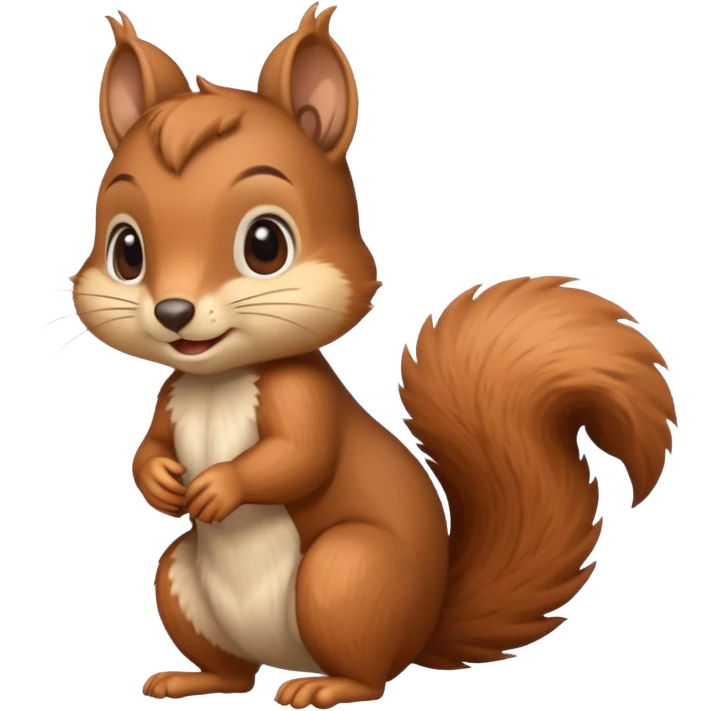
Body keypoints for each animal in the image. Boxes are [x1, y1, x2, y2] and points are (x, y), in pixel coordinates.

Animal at [75, 5, 677, 708]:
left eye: (265, 245)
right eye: (126, 250)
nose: (174, 313)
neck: (220, 379)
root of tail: (422, 628)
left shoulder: (302, 396)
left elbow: (299, 457)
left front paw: (221, 486)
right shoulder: (172, 396)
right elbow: (149, 449)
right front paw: (160, 481)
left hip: (347, 575)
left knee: (367, 672)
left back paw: (324, 688)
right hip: (179, 580)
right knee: (236, 671)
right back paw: (192, 678)